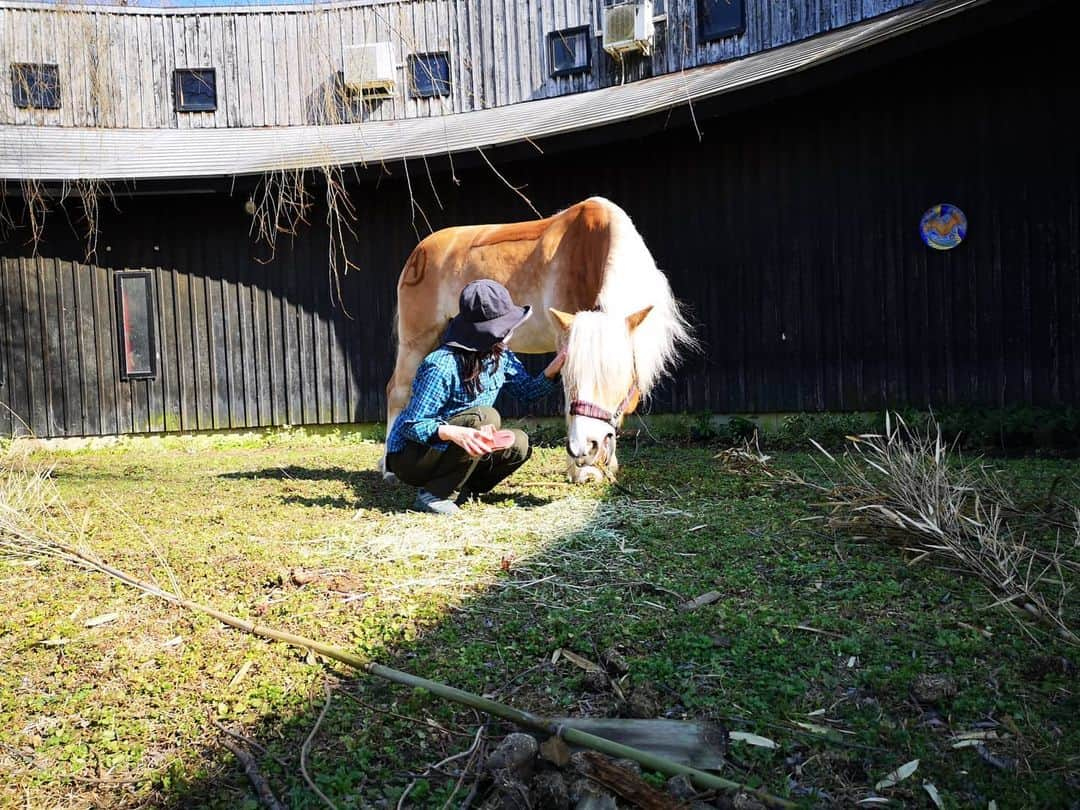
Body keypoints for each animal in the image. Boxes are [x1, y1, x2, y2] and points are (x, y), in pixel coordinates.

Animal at [384, 197, 695, 486]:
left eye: (619, 374)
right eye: (570, 376)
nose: (587, 447)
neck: (590, 249)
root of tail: (419, 253)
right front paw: (581, 471)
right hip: (416, 338)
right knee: (398, 391)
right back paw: (388, 469)